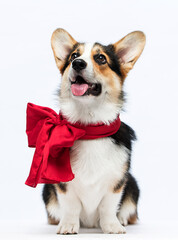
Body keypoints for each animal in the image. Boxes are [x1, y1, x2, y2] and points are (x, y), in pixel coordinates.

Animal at [42, 28, 145, 234]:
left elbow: (108, 206)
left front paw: (112, 226)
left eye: (100, 58)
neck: (89, 129)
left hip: (133, 185)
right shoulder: (63, 185)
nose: (78, 63)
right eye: (74, 56)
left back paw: (121, 219)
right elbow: (71, 206)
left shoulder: (116, 182)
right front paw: (68, 225)